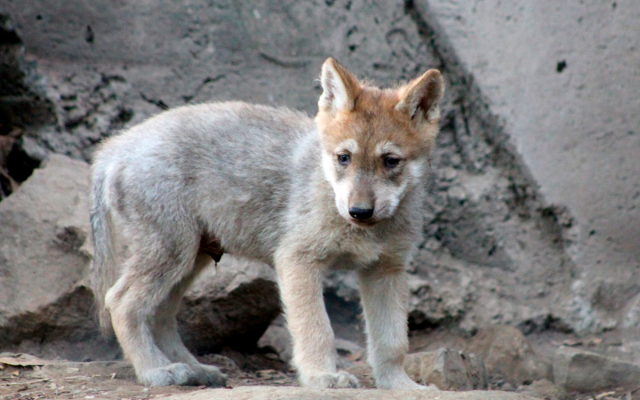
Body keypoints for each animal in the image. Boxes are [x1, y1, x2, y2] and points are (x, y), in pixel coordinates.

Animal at [90, 58, 444, 390]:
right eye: (344, 158)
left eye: (391, 162)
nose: (359, 211)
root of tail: (115, 147)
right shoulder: (297, 261)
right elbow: (317, 331)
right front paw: (323, 377)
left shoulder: (385, 271)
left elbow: (392, 343)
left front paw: (401, 387)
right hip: (171, 256)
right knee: (121, 304)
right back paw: (155, 370)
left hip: (187, 261)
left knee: (161, 316)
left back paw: (192, 369)